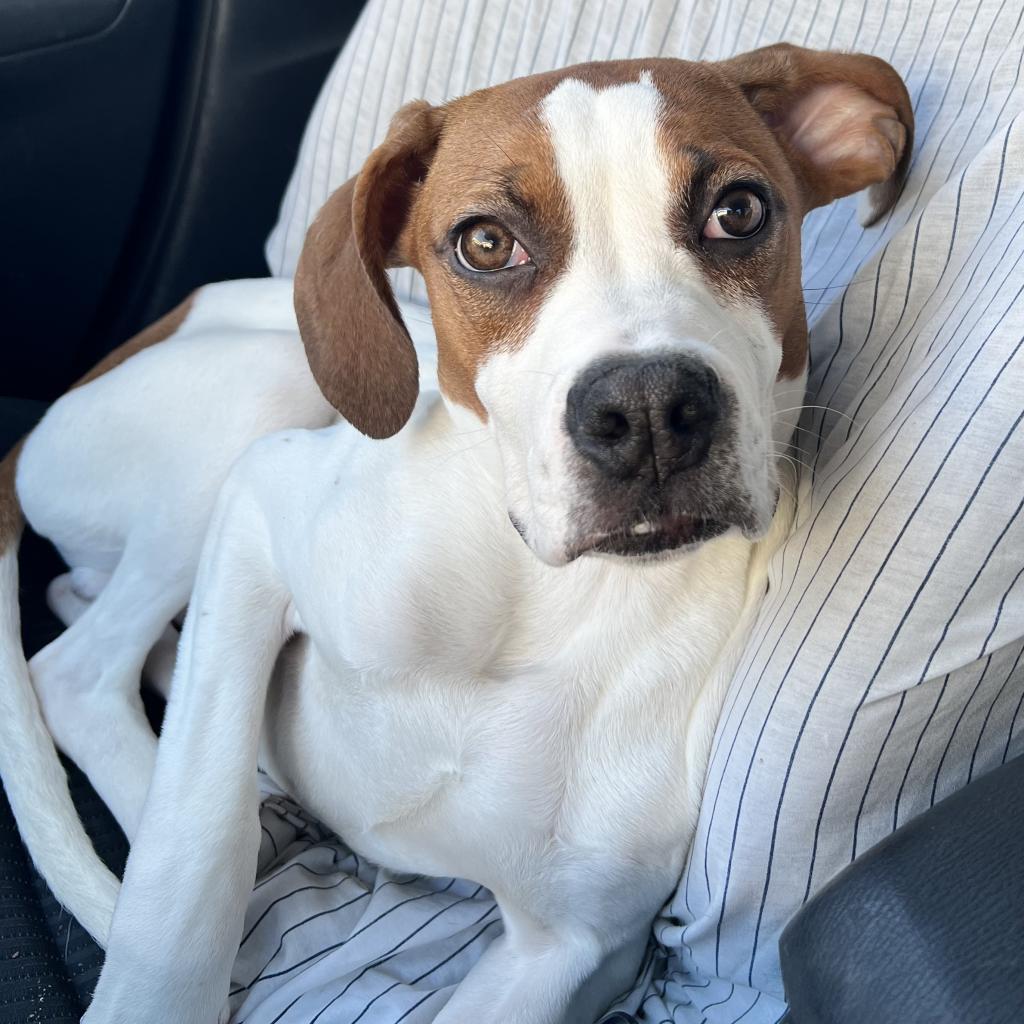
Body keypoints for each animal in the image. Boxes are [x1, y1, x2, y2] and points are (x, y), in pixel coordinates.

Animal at [0, 41, 913, 1024]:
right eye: (485, 242)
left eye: (738, 210)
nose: (648, 412)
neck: (536, 594)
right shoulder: (257, 508)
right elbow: (190, 865)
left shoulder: (570, 950)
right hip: (269, 393)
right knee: (78, 672)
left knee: (81, 613)